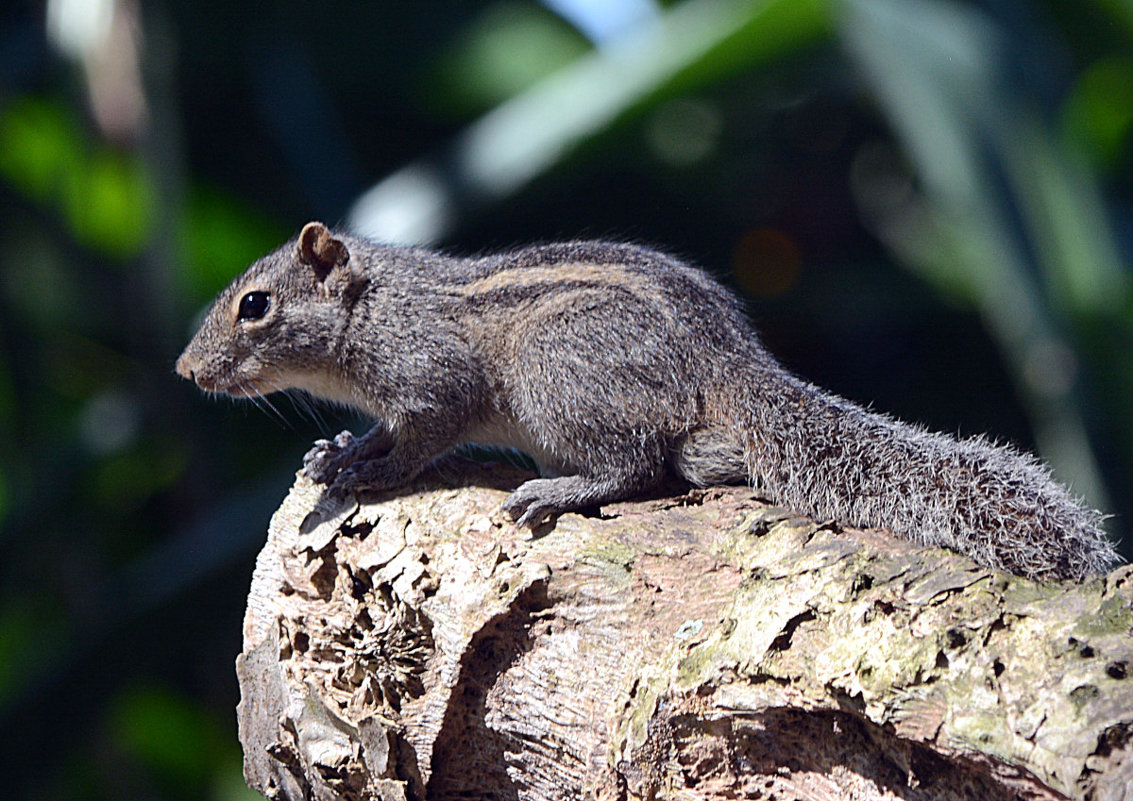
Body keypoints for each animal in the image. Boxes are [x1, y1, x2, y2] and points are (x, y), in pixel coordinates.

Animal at [176, 222, 1114, 580]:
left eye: (254, 304)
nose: (185, 370)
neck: (377, 305)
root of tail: (729, 361)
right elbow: (379, 433)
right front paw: (336, 453)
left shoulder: (433, 379)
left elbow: (419, 441)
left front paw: (369, 475)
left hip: (558, 378)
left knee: (636, 464)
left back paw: (563, 488)